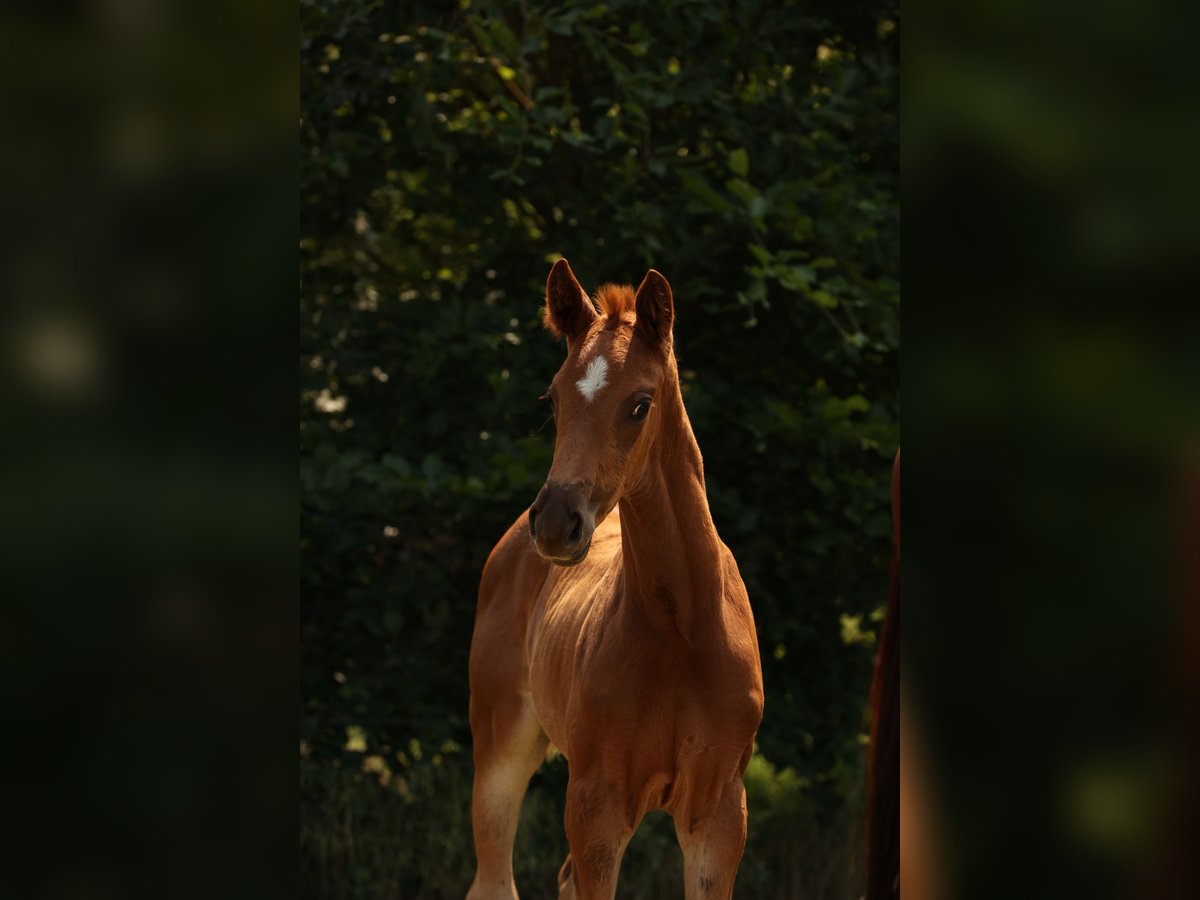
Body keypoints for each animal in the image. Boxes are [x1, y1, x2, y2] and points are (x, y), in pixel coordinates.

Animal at [463, 260, 763, 900]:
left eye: (640, 404)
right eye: (552, 398)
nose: (556, 522)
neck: (682, 631)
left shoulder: (719, 814)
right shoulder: (595, 806)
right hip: (500, 749)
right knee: (494, 879)